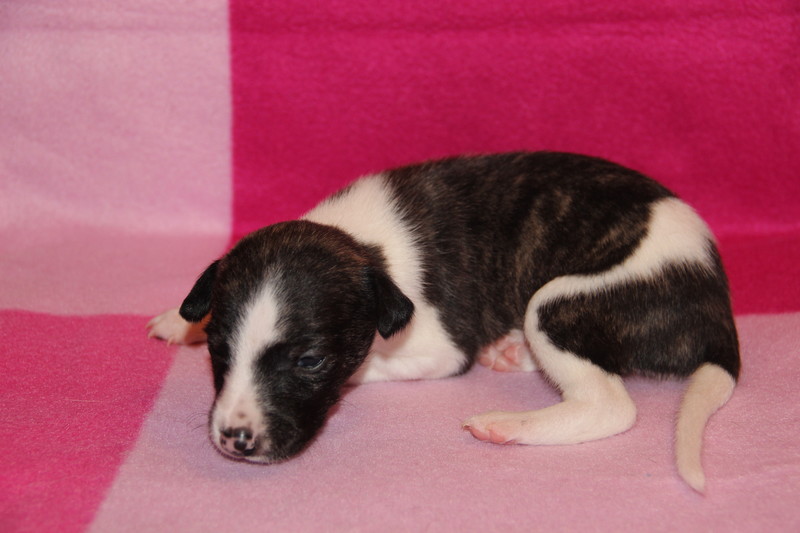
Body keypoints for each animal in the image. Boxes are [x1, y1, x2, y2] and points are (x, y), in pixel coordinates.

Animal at [148, 151, 740, 493]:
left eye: (310, 362)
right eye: (219, 352)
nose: (235, 440)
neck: (357, 244)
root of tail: (716, 303)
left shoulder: (440, 346)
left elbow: (369, 365)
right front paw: (180, 319)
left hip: (555, 303)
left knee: (610, 404)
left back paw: (509, 424)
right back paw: (511, 351)